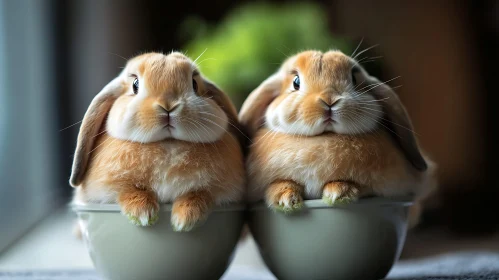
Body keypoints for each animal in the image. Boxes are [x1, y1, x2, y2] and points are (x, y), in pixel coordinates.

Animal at [71, 51, 247, 231]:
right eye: (135, 84)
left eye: (194, 84)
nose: (168, 105)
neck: (168, 143)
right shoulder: (108, 188)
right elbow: (127, 191)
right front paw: (143, 214)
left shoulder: (219, 191)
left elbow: (200, 194)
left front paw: (184, 220)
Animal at [240, 49, 436, 217]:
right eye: (296, 82)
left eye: (354, 79)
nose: (329, 100)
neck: (323, 138)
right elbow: (278, 183)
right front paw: (287, 200)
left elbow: (362, 187)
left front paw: (338, 193)